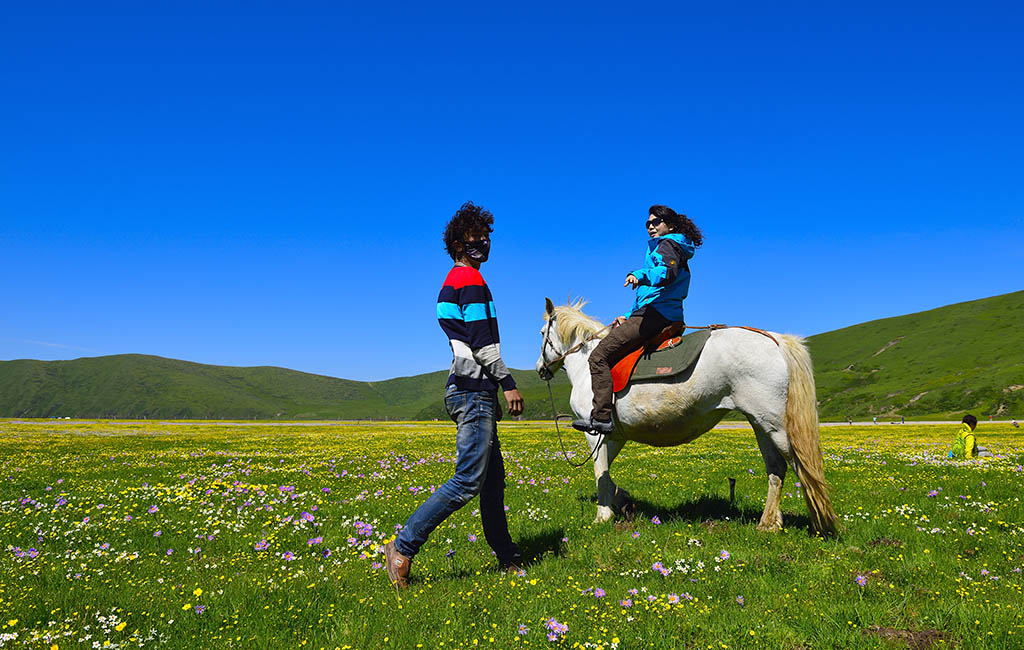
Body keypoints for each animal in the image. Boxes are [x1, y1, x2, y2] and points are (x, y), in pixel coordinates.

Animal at [536, 296, 839, 536]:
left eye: (541, 332)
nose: (540, 369)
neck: (586, 365)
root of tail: (774, 339)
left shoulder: (595, 431)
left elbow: (600, 472)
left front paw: (603, 515)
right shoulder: (615, 436)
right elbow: (608, 473)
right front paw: (623, 502)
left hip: (775, 426)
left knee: (803, 467)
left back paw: (819, 524)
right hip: (760, 423)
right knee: (777, 468)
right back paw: (769, 523)